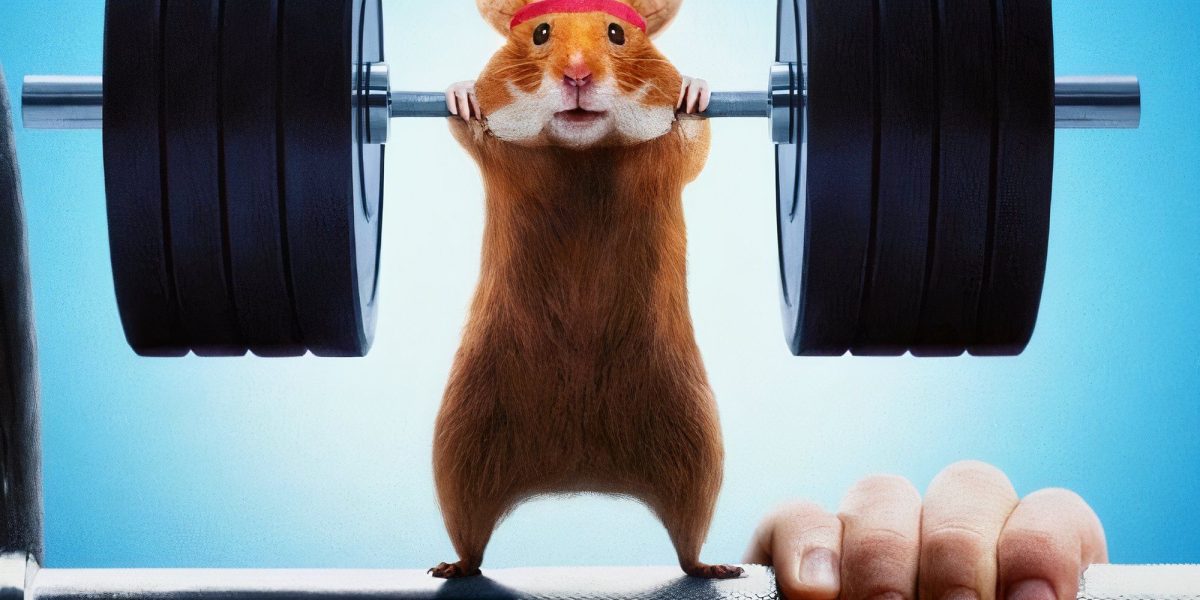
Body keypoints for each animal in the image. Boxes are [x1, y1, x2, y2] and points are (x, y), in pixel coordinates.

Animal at [430, 0, 740, 580]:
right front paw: (463, 95)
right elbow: (472, 131)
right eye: (540, 33)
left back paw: (719, 568)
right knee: (471, 542)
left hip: (698, 450)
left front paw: (693, 91)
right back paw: (449, 568)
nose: (576, 76)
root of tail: (579, 472)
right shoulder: (502, 157)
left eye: (616, 32)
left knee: (689, 545)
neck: (581, 153)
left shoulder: (670, 160)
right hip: (460, 446)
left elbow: (694, 139)